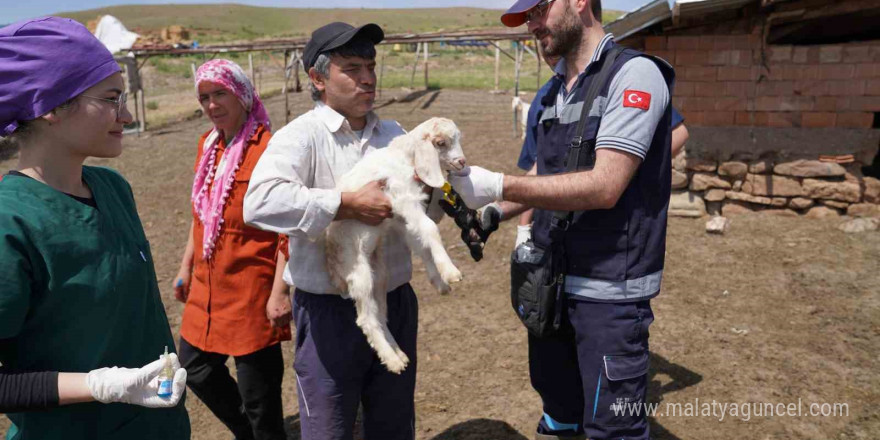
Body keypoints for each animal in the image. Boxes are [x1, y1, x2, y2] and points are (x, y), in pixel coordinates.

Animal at [326, 117, 468, 374]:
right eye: (440, 143)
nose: (461, 162)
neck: (403, 158)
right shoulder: (403, 199)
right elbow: (430, 229)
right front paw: (451, 272)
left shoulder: (402, 216)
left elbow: (422, 242)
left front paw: (440, 282)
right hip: (358, 272)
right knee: (366, 319)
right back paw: (391, 361)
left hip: (379, 274)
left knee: (380, 313)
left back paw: (398, 354)